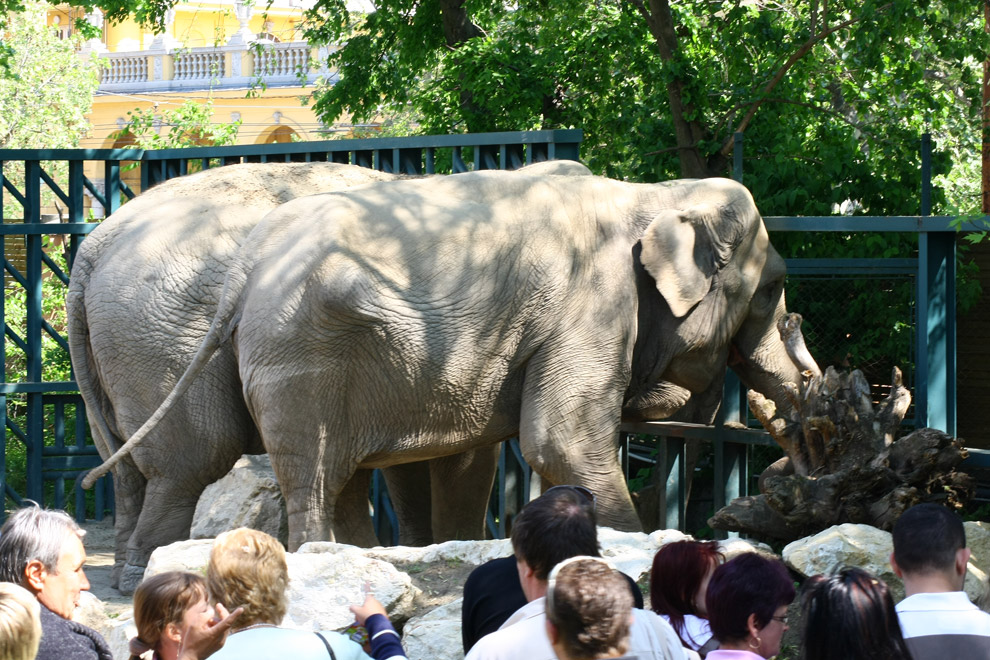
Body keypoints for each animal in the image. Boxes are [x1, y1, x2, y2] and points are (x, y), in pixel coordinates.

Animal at [85, 168, 808, 548]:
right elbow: (559, 440)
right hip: (283, 348)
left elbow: (460, 454)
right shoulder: (591, 303)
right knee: (244, 463)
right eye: (775, 286)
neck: (651, 193)